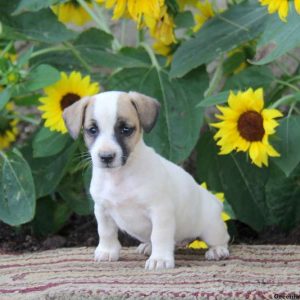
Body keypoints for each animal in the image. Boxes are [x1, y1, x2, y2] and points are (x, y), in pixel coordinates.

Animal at [63, 91, 230, 270]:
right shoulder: (102, 210)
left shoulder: (160, 211)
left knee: (222, 239)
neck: (119, 177)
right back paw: (148, 246)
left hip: (211, 229)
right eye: (92, 130)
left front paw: (160, 259)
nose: (106, 157)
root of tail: (213, 199)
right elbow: (106, 232)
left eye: (125, 129)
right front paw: (107, 251)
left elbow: (159, 235)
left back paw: (217, 251)